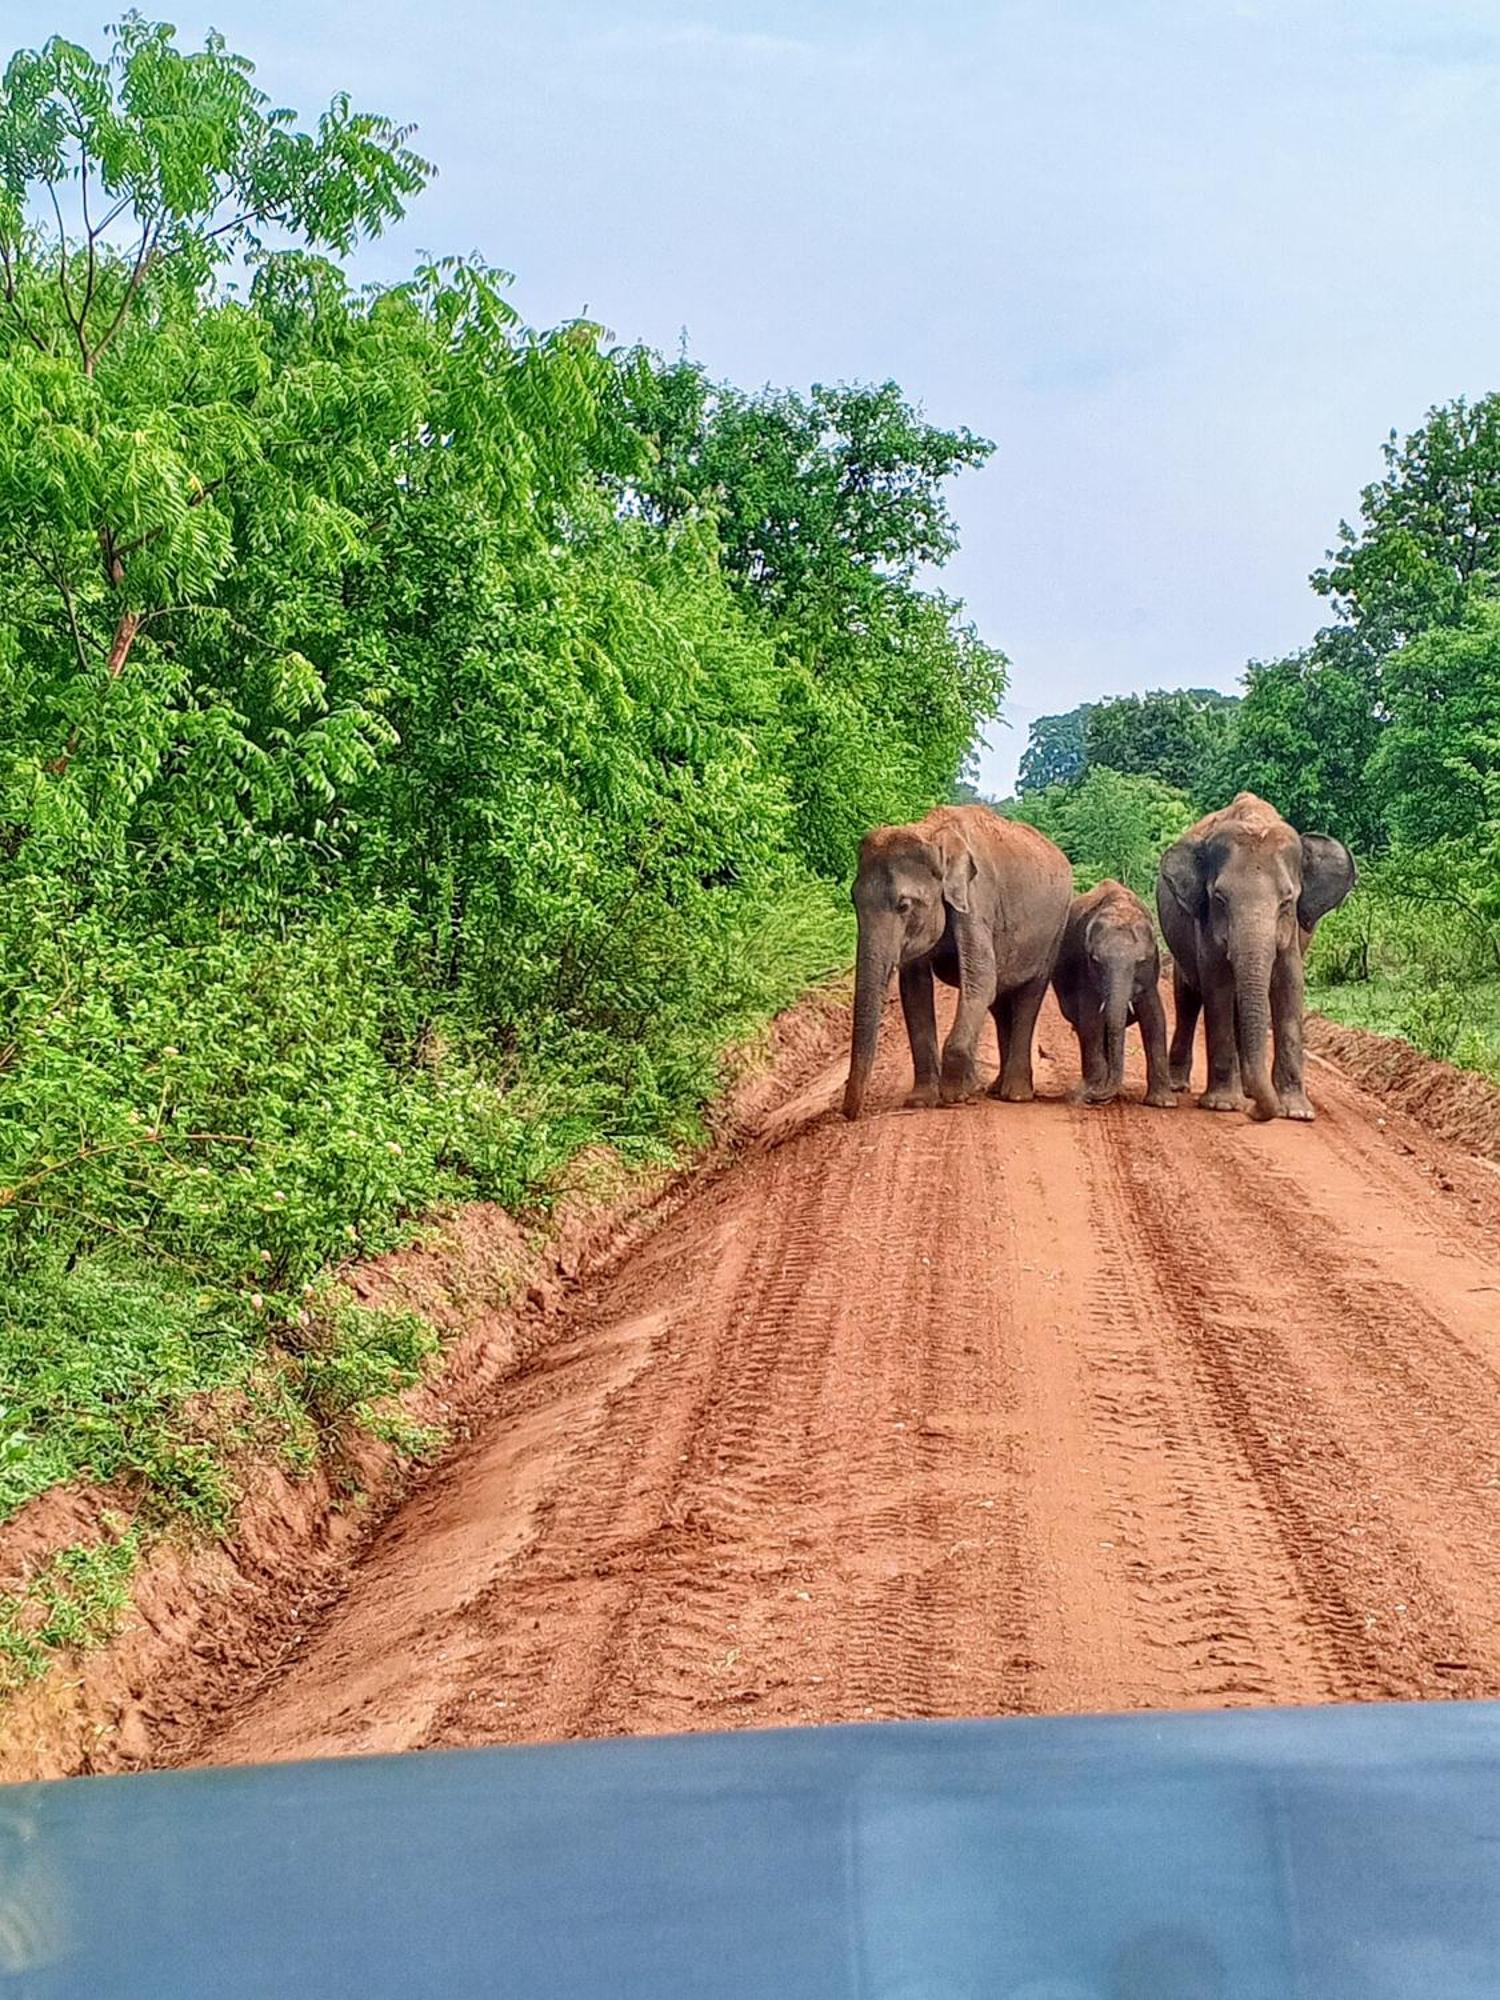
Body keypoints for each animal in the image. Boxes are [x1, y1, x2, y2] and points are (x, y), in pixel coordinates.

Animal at [840, 812, 1072, 1128]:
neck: (932, 831)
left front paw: (954, 1096)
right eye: (853, 900)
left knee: (1028, 997)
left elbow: (981, 979)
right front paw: (922, 1100)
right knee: (1000, 1002)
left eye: (904, 906)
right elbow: (914, 991)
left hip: (1054, 933)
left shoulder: (977, 899)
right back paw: (992, 1088)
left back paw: (1014, 1095)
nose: (848, 1114)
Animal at [1048, 888, 1184, 1120]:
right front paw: (1090, 1093)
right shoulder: (1085, 969)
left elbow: (1155, 1019)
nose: (1081, 1095)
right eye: (1096, 960)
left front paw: (1163, 1103)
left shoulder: (1149, 975)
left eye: (1141, 961)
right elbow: (1091, 1020)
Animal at [1160, 784, 1360, 1128]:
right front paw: (1223, 1105)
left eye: (1287, 901)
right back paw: (1184, 1086)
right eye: (1219, 899)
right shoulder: (1205, 924)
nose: (1255, 1113)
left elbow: (1290, 987)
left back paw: (1249, 1092)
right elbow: (1217, 987)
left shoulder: (1293, 932)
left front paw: (1297, 1112)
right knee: (1187, 998)